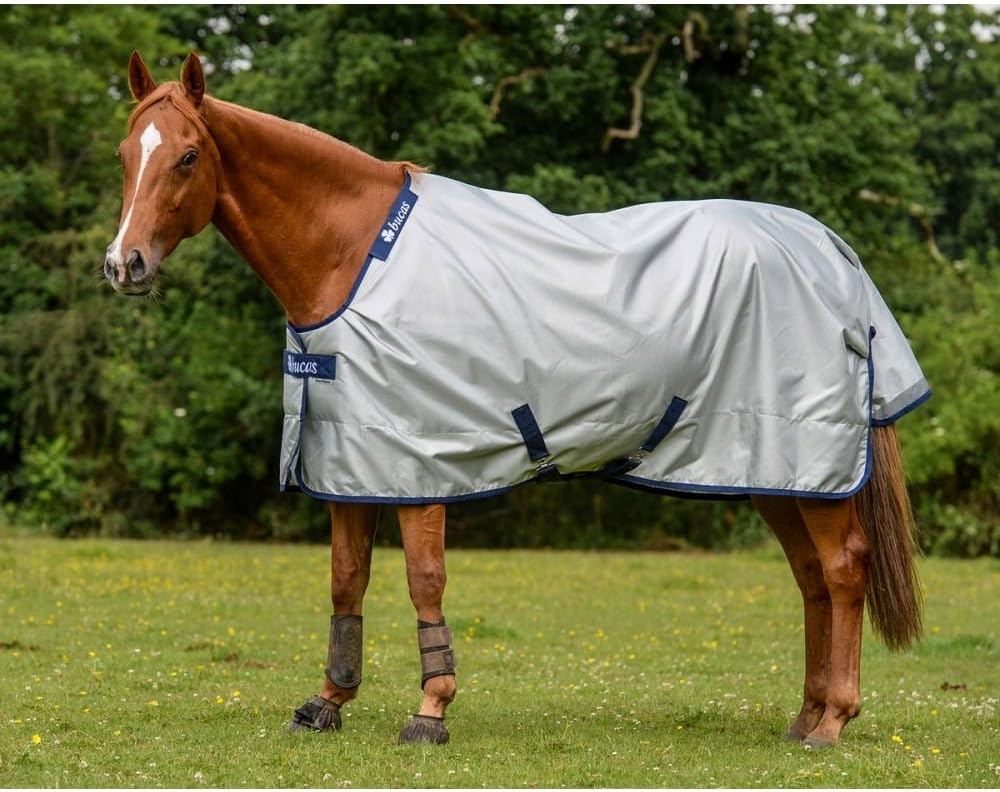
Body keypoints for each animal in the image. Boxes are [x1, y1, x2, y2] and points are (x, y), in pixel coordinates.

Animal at [105, 51, 926, 748]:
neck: (353, 254)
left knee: (844, 567)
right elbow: (346, 578)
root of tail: (833, 251)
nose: (124, 265)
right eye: (125, 155)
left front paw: (431, 710)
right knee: (812, 577)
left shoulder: (419, 462)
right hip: (772, 471)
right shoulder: (349, 458)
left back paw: (833, 722)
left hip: (807, 461)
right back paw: (805, 715)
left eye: (187, 156)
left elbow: (424, 580)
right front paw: (328, 701)